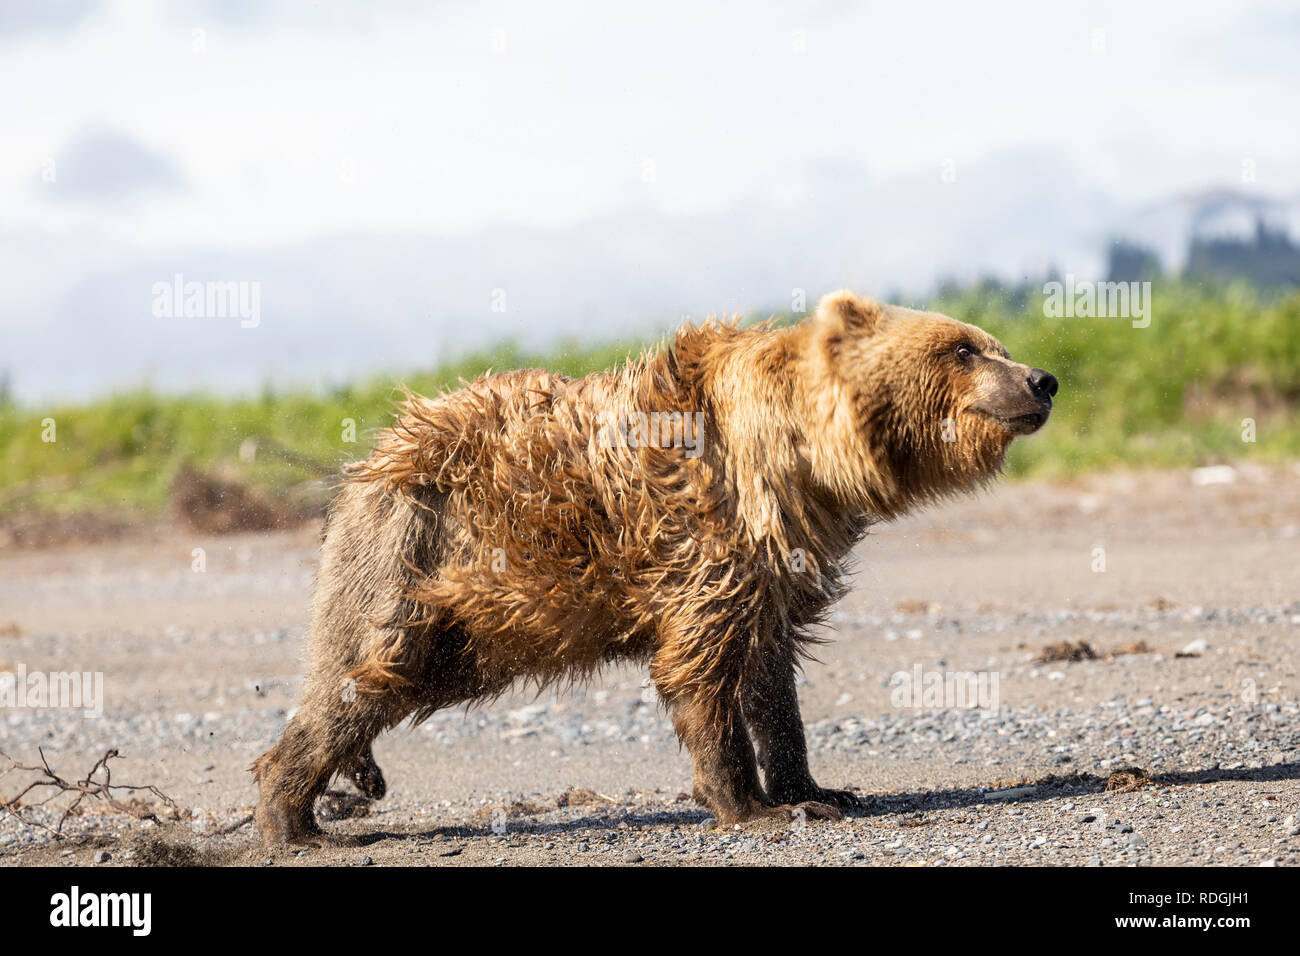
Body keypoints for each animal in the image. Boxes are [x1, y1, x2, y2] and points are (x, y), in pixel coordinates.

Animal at [250, 290, 1055, 842]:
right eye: (962, 348)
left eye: (991, 342)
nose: (1041, 379)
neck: (798, 462)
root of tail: (370, 459)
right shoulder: (709, 538)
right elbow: (700, 670)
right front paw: (747, 804)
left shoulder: (781, 562)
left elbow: (772, 677)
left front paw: (815, 789)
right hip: (413, 555)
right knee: (360, 672)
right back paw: (296, 819)